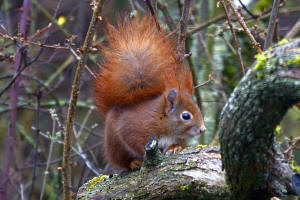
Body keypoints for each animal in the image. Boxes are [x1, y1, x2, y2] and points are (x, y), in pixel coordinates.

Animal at [94, 15, 206, 170]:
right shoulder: (133, 129)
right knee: (121, 161)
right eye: (185, 116)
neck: (161, 120)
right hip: (115, 144)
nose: (203, 130)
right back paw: (134, 162)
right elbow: (134, 142)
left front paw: (175, 148)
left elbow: (179, 144)